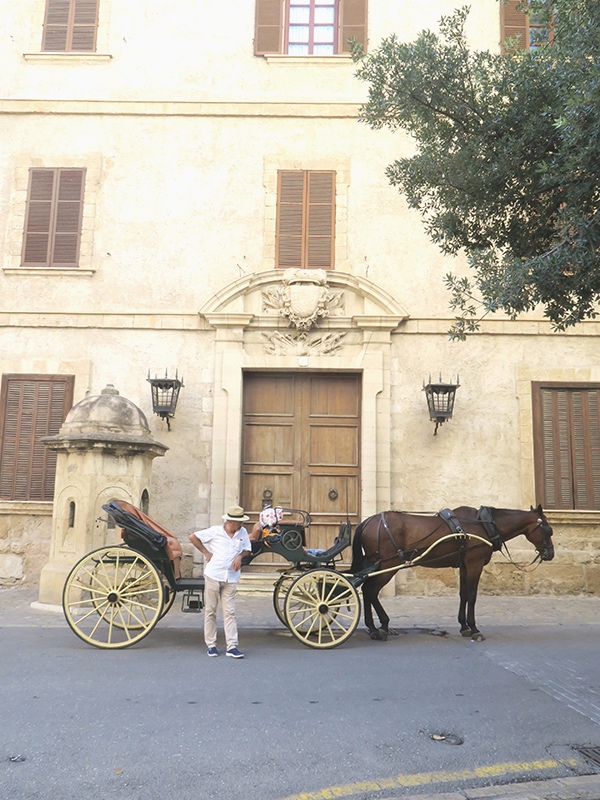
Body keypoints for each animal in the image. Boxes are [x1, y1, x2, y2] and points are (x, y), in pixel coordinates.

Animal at [350, 506, 556, 644]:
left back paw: (373, 627)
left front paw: (464, 626)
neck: (484, 525)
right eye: (548, 529)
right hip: (389, 565)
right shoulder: (474, 564)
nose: (550, 554)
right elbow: (472, 596)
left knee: (366, 590)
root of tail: (367, 521)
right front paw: (474, 628)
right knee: (370, 591)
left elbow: (463, 594)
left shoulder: (464, 565)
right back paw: (381, 626)